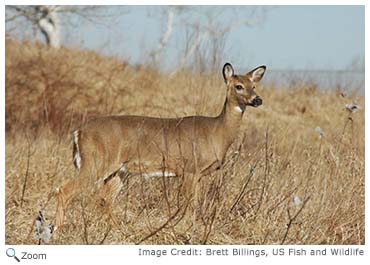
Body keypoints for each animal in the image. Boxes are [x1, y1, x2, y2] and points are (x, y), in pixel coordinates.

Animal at [52, 62, 266, 231]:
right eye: (239, 86)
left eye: (254, 85)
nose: (258, 99)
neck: (216, 132)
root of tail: (78, 132)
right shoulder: (189, 169)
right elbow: (188, 205)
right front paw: (184, 228)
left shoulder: (198, 174)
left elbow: (194, 205)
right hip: (96, 162)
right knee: (65, 190)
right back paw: (56, 231)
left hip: (119, 171)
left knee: (104, 199)